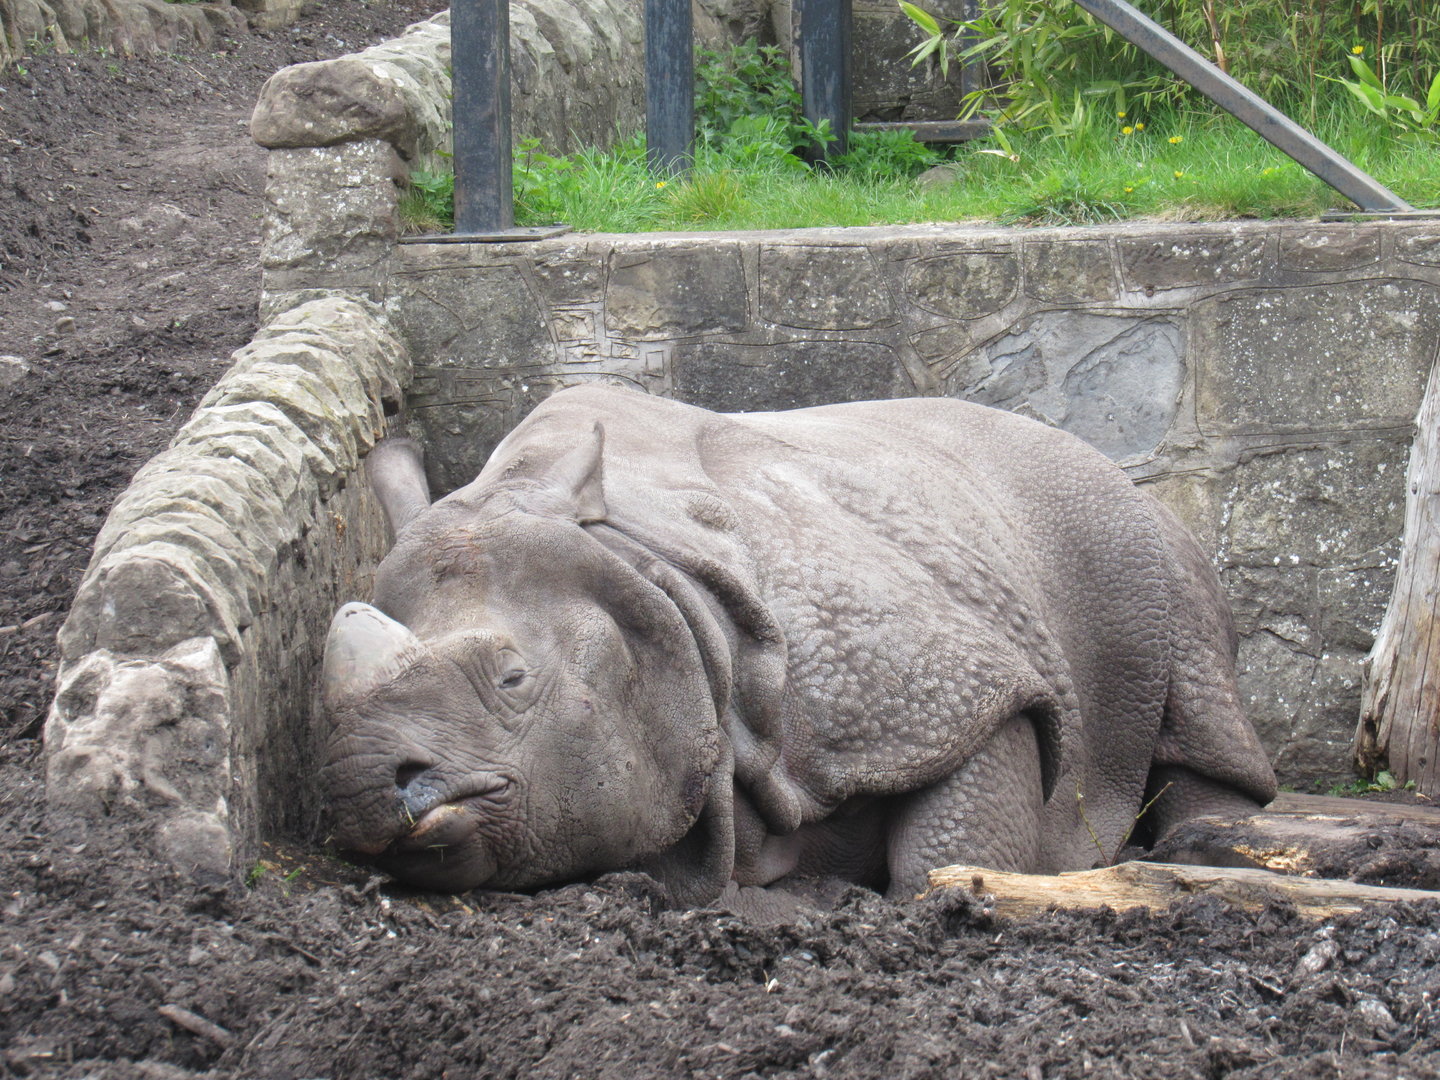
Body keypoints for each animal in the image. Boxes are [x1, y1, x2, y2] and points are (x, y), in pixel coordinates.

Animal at [320, 385, 1275, 904]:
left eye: (513, 678)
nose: (366, 790)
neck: (651, 579)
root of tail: (1092, 448)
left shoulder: (945, 683)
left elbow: (963, 821)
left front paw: (953, 900)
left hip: (1131, 525)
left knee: (1191, 665)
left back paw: (1207, 846)